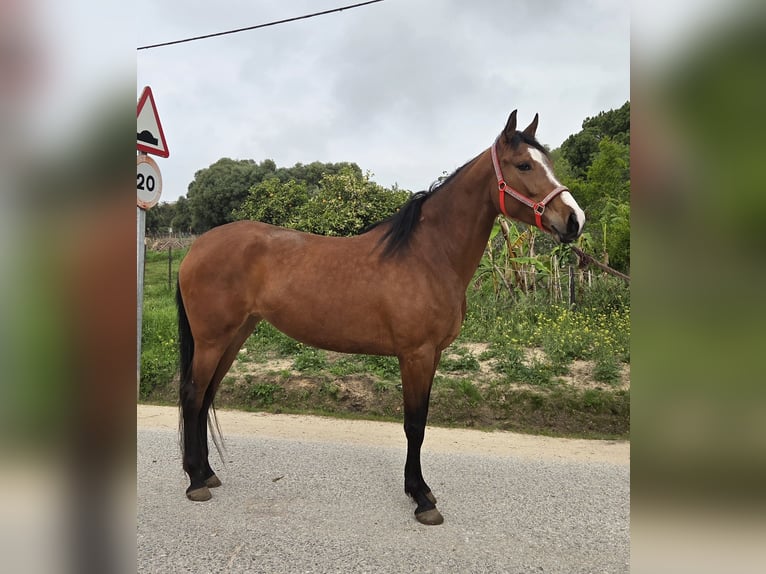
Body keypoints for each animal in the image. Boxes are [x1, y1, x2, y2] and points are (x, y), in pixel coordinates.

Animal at [175, 110, 585, 525]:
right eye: (524, 165)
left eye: (548, 163)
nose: (574, 220)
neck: (428, 255)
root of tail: (197, 247)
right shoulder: (415, 355)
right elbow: (414, 425)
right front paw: (421, 498)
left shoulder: (432, 354)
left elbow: (421, 421)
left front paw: (420, 490)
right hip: (212, 340)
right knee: (193, 395)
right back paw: (195, 481)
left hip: (235, 336)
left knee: (206, 396)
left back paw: (208, 473)